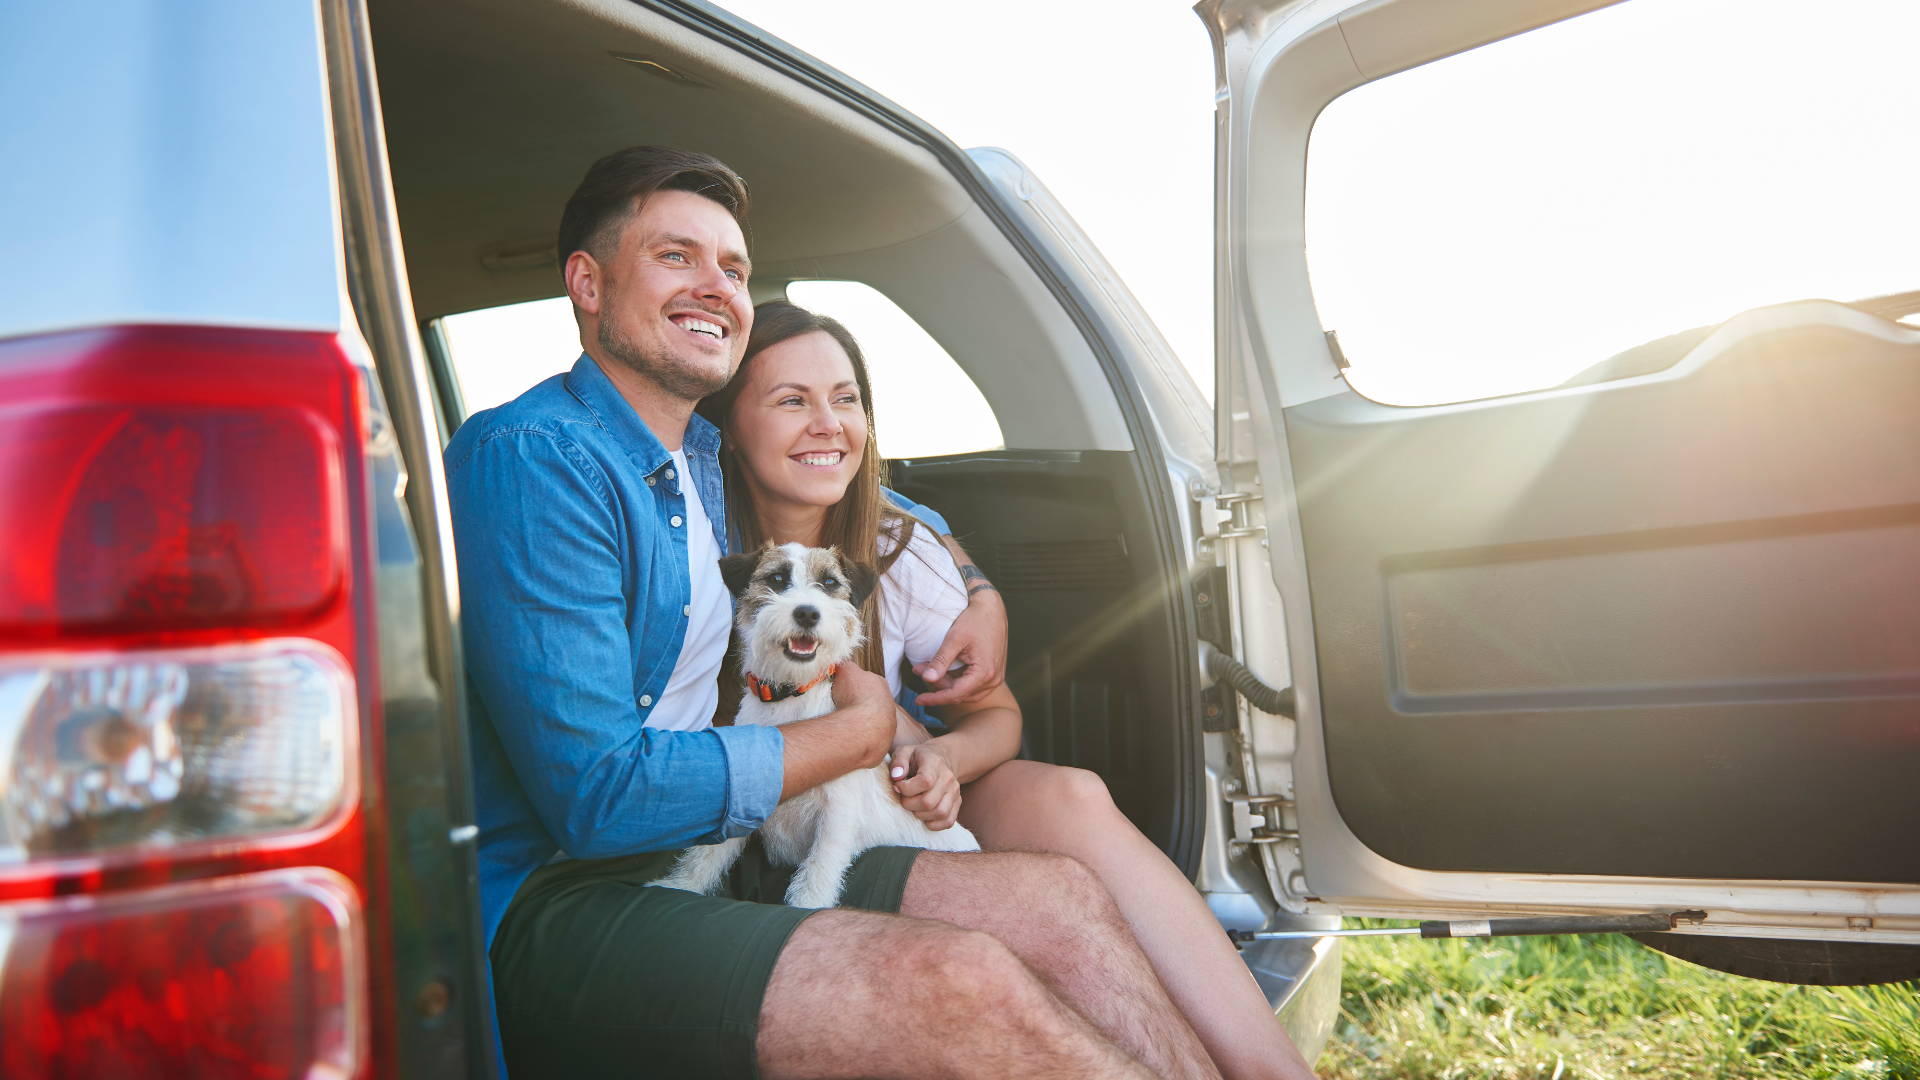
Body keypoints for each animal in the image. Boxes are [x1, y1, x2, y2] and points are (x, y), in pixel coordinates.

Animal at [648, 541, 983, 903]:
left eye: (830, 583)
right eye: (777, 579)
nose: (807, 613)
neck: (790, 695)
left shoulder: (837, 814)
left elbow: (820, 868)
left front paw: (808, 903)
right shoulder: (749, 796)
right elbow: (708, 854)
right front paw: (681, 885)